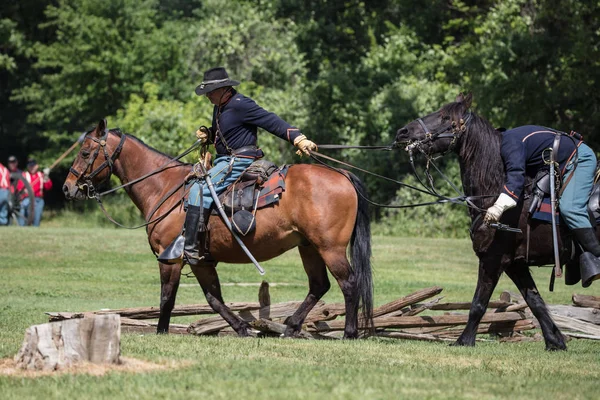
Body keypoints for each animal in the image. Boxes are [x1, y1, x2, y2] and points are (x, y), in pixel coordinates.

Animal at [63, 119, 372, 338]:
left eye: (86, 152)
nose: (68, 188)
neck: (164, 188)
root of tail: (342, 175)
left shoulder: (170, 258)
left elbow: (167, 298)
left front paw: (161, 331)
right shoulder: (201, 260)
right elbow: (214, 298)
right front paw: (243, 328)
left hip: (329, 248)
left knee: (349, 283)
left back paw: (349, 333)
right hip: (308, 247)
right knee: (319, 285)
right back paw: (290, 327)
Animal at [396, 94, 596, 350]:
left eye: (446, 117)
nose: (403, 132)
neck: (494, 190)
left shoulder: (492, 260)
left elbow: (478, 304)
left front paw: (464, 341)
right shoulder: (515, 264)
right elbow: (535, 301)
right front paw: (555, 342)